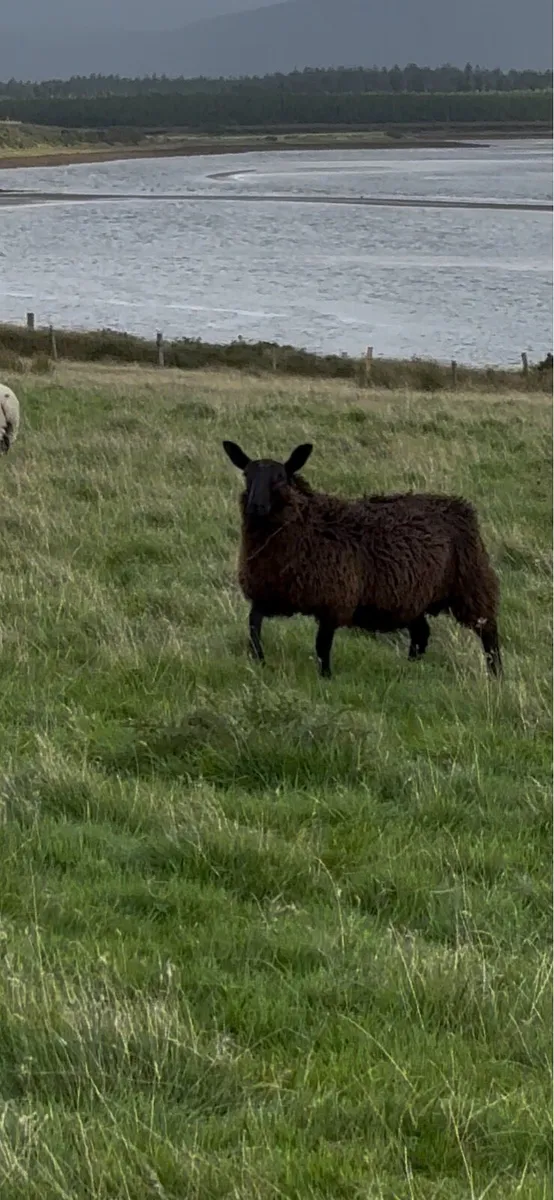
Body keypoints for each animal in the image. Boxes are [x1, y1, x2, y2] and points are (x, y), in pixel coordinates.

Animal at [222, 440, 502, 679]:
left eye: (280, 478)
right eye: (246, 475)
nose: (256, 506)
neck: (307, 525)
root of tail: (460, 505)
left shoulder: (334, 600)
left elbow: (322, 646)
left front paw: (326, 677)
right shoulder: (268, 594)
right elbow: (253, 625)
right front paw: (258, 659)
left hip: (472, 584)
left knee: (488, 632)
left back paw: (496, 675)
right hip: (413, 597)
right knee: (421, 633)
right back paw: (409, 669)